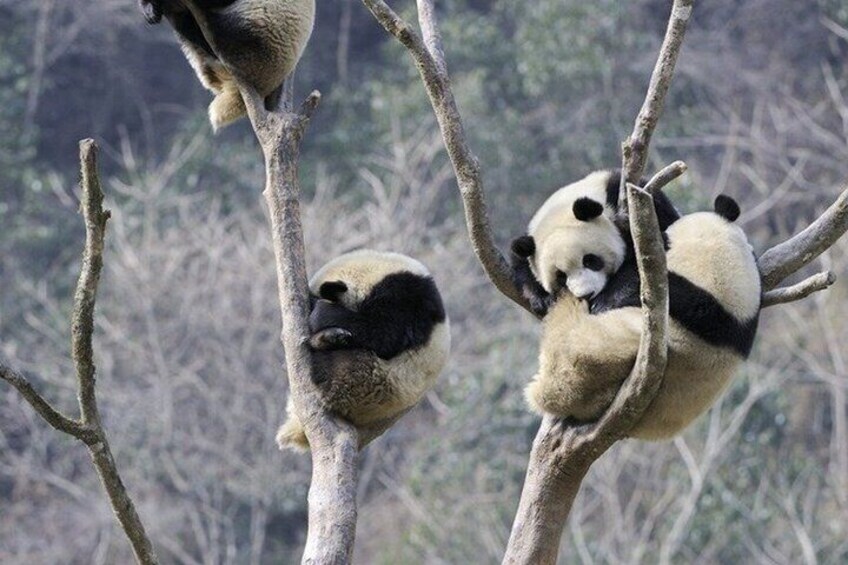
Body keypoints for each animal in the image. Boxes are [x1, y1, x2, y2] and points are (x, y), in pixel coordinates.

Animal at [276, 250, 451, 450]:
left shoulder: (407, 297)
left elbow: (385, 333)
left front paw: (321, 313)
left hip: (373, 383)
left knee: (338, 371)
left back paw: (326, 343)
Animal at [510, 169, 680, 317]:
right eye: (561, 277)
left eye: (590, 260)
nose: (586, 295)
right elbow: (520, 264)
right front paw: (543, 299)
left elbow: (642, 261)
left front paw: (605, 302)